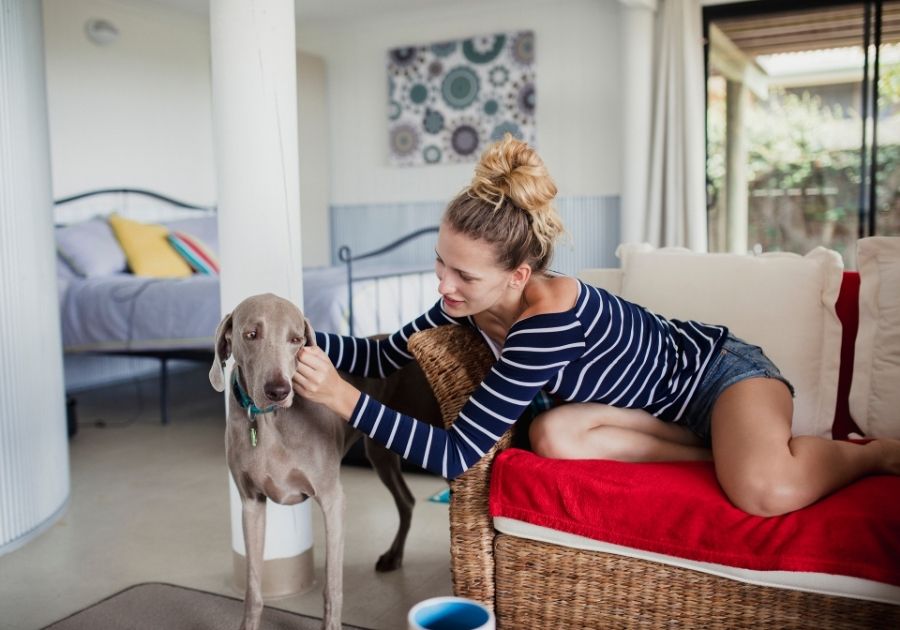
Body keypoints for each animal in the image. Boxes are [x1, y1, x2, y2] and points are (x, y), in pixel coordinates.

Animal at [207, 296, 440, 630]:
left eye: (296, 340)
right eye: (251, 334)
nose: (278, 391)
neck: (269, 421)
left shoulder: (332, 500)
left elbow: (332, 587)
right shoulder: (251, 503)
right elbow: (253, 590)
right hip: (379, 453)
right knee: (406, 500)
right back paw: (393, 556)